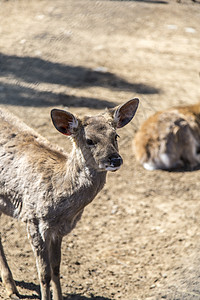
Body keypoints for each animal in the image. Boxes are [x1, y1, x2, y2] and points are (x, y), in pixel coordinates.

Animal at [0, 98, 139, 300]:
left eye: (116, 136)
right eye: (89, 140)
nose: (115, 159)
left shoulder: (59, 229)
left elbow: (56, 268)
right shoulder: (32, 218)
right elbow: (44, 273)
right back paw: (11, 288)